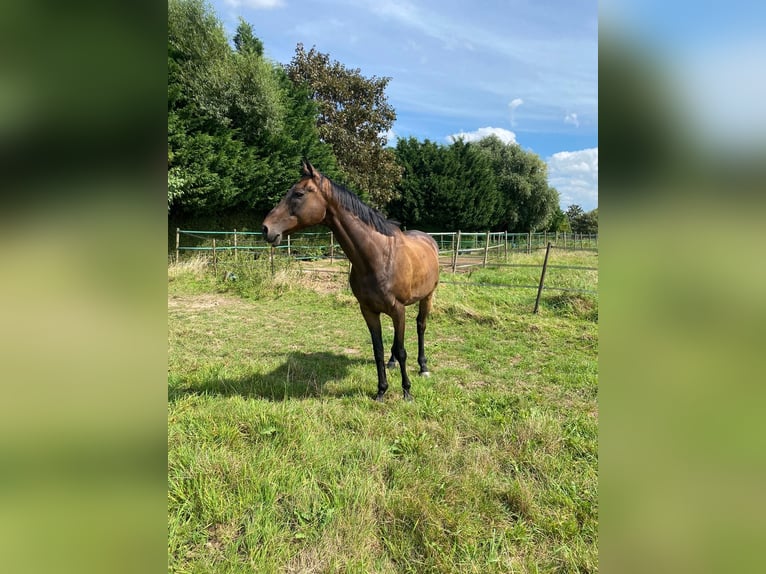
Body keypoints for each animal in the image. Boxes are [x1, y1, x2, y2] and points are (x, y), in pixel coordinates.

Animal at [264, 161, 440, 404]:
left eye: (299, 193)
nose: (266, 228)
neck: (378, 257)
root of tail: (429, 238)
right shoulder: (368, 310)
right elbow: (379, 350)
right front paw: (381, 391)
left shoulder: (398, 309)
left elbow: (403, 350)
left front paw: (407, 391)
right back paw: (392, 363)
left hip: (427, 297)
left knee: (421, 327)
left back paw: (423, 367)